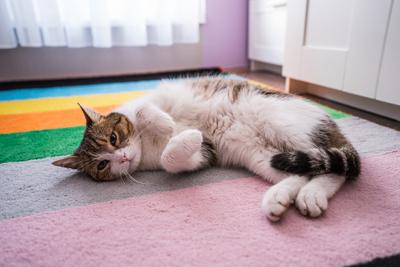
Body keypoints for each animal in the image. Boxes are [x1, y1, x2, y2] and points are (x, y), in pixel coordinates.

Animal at [51, 77, 360, 222]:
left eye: (114, 138)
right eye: (102, 165)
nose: (123, 157)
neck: (144, 143)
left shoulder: (156, 98)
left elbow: (144, 110)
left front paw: (165, 123)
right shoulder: (205, 154)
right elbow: (173, 159)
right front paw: (187, 137)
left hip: (283, 123)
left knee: (341, 169)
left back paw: (312, 194)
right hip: (264, 157)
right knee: (302, 174)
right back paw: (283, 198)